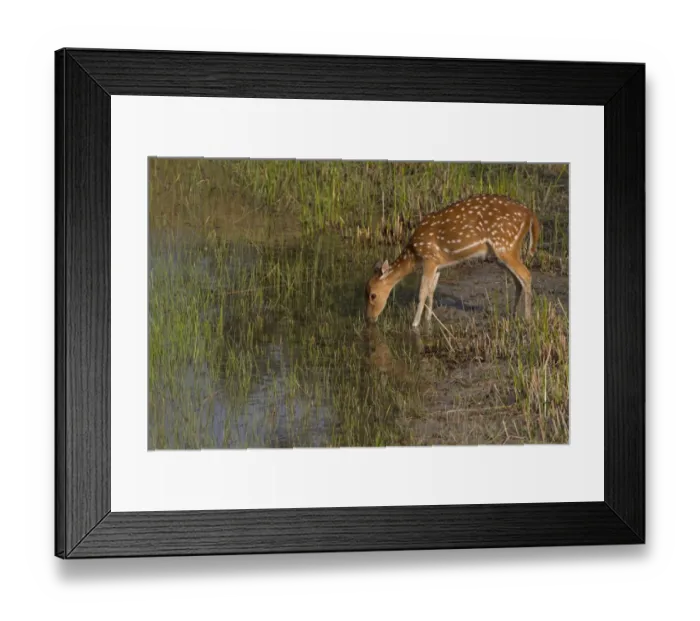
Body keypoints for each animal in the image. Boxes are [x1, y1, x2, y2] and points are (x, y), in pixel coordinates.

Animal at [364, 194, 540, 329]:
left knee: (526, 275)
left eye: (373, 295)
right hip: (505, 252)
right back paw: (513, 314)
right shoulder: (438, 264)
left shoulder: (429, 258)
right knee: (518, 280)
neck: (415, 254)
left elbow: (422, 291)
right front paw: (428, 320)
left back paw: (528, 319)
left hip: (505, 245)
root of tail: (530, 214)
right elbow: (431, 290)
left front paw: (414, 324)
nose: (369, 318)